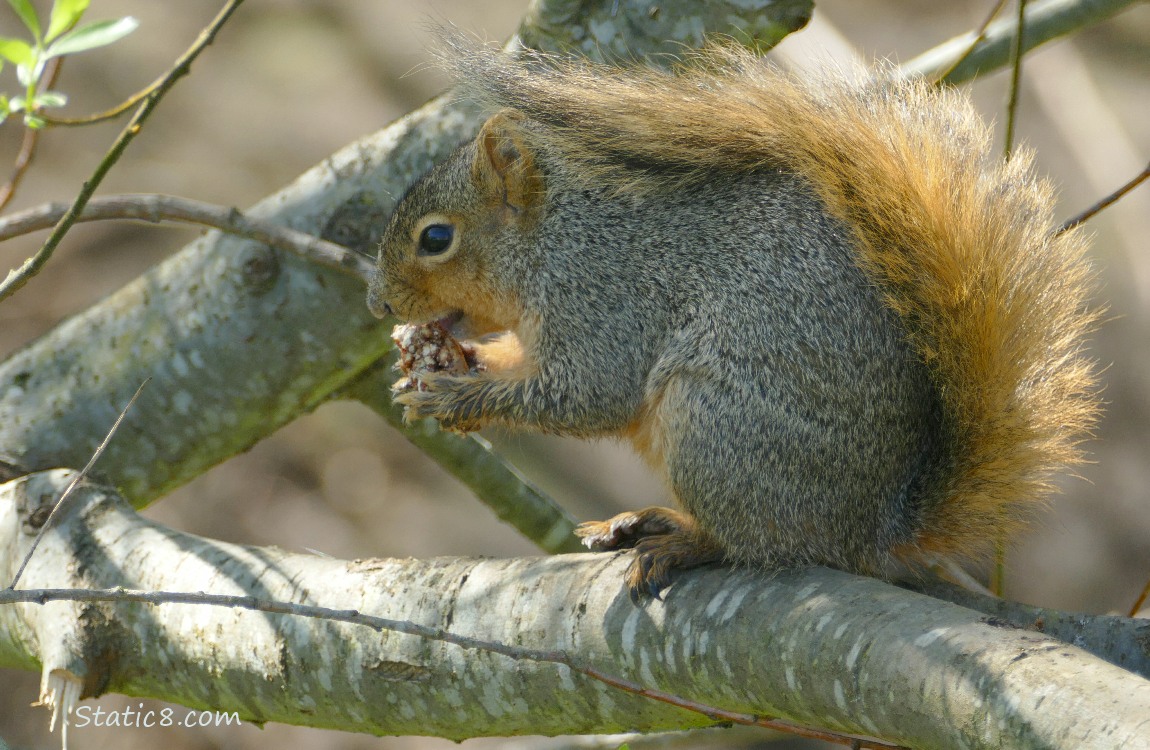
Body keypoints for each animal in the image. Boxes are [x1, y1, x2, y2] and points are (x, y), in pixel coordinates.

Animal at [366, 41, 1100, 600]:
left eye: (436, 238)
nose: (378, 304)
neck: (551, 236)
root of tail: (873, 530)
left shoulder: (603, 295)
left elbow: (587, 393)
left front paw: (455, 396)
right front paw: (446, 368)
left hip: (717, 428)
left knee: (755, 544)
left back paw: (684, 542)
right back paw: (647, 520)